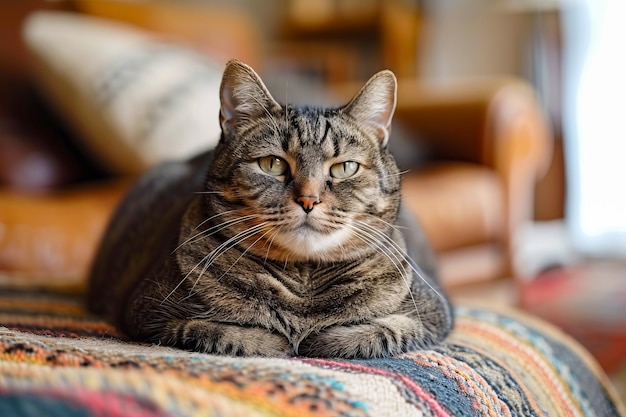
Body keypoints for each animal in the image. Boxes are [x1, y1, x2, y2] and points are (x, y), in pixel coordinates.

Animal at [88, 59, 450, 358]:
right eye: (272, 164)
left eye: (344, 168)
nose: (308, 199)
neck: (303, 287)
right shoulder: (149, 314)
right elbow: (226, 333)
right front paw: (282, 340)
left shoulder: (433, 314)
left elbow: (378, 331)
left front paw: (316, 339)